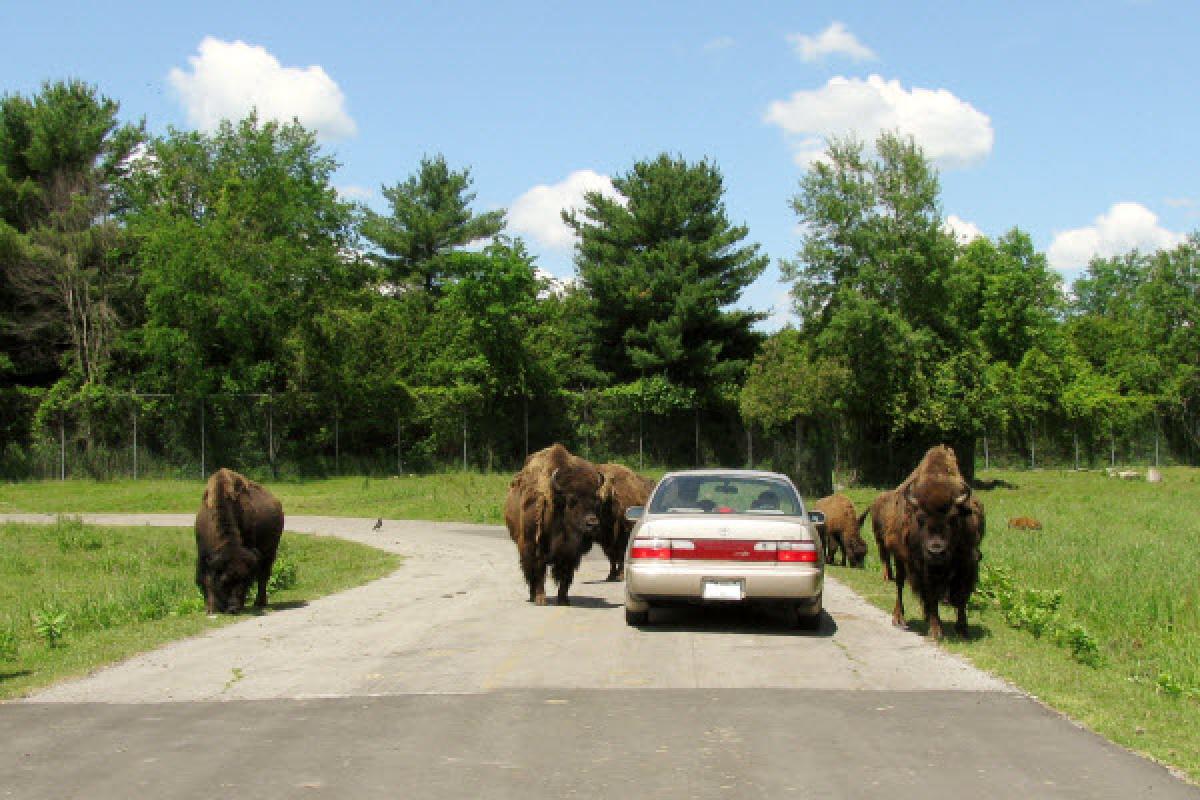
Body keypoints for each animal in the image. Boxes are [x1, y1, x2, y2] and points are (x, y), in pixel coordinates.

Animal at [193, 465, 284, 618]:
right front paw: (211, 609)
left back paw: (260, 602)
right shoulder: (204, 555)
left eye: (246, 582)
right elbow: (207, 579)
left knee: (263, 575)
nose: (233, 609)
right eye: (224, 581)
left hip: (271, 552)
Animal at [504, 443, 604, 606]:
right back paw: (532, 596)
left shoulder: (571, 554)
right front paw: (541, 599)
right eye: (572, 500)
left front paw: (563, 600)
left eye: (595, 500)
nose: (592, 523)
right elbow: (539, 572)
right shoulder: (536, 547)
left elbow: (565, 576)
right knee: (529, 571)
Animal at [873, 448, 984, 642]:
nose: (936, 550)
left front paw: (963, 630)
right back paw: (899, 618)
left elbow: (961, 595)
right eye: (920, 518)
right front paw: (935, 630)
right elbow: (931, 596)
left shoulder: (967, 562)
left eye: (953, 518)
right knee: (900, 584)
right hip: (900, 560)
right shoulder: (924, 569)